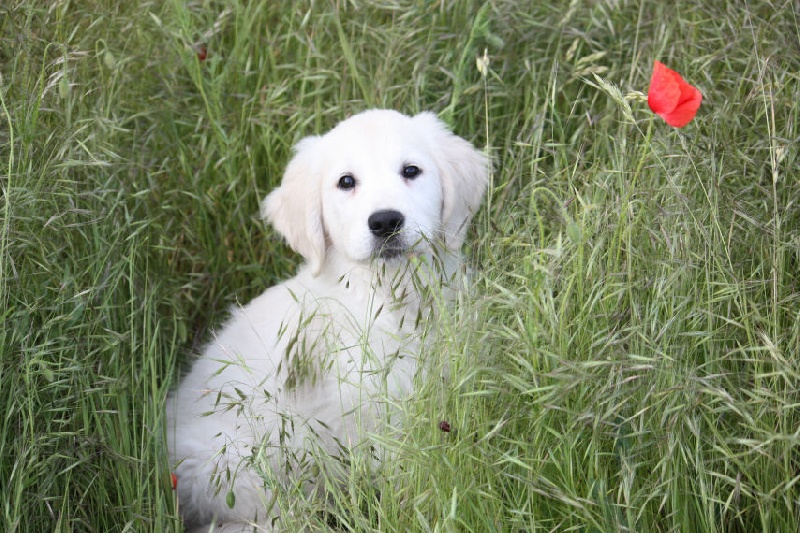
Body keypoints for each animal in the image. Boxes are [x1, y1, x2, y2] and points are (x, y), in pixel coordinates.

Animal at [167, 110, 488, 528]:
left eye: (411, 171)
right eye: (346, 182)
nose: (385, 222)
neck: (391, 296)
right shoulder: (367, 420)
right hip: (231, 463)